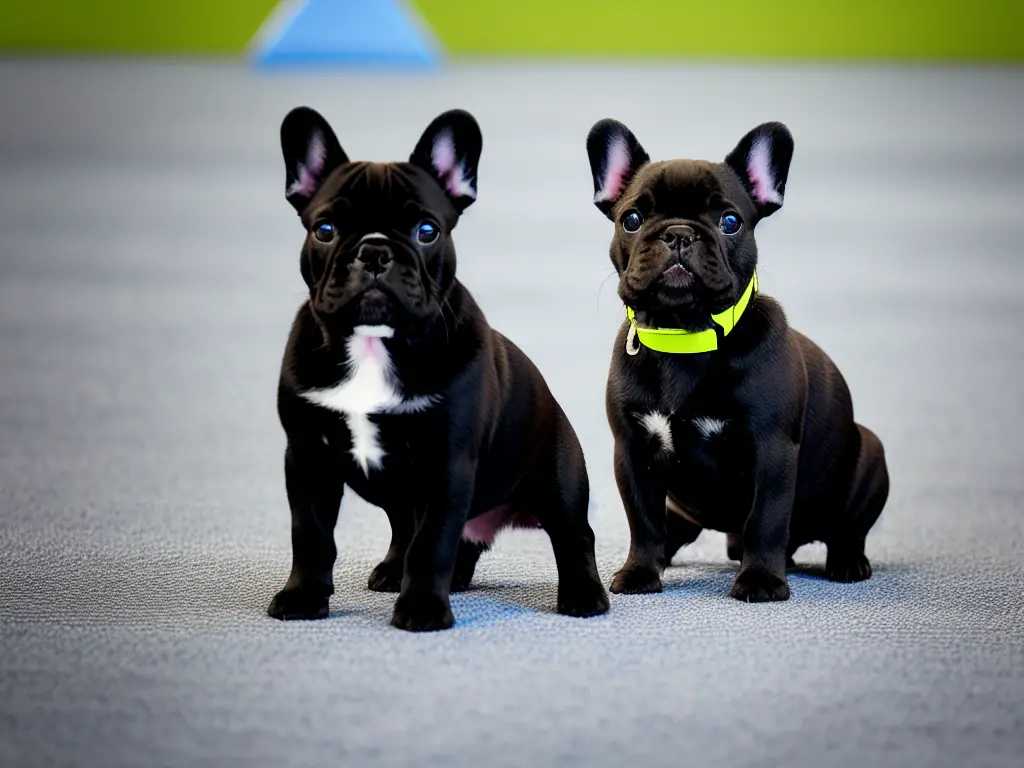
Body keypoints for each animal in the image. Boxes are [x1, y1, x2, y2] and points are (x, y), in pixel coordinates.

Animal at [268, 108, 610, 634]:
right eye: (324, 229)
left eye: (426, 231)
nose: (374, 251)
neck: (374, 342)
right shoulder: (307, 457)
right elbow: (310, 534)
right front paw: (303, 596)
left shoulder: (446, 462)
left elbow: (431, 542)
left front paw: (423, 609)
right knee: (413, 532)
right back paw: (400, 572)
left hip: (559, 478)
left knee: (573, 534)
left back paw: (582, 594)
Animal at [589, 118, 892, 602]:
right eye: (631, 220)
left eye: (730, 222)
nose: (679, 233)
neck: (684, 333)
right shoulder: (632, 450)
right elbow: (644, 521)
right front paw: (639, 572)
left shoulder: (772, 449)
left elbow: (765, 520)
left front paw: (761, 580)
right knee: (673, 528)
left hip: (870, 454)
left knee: (845, 530)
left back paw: (846, 562)